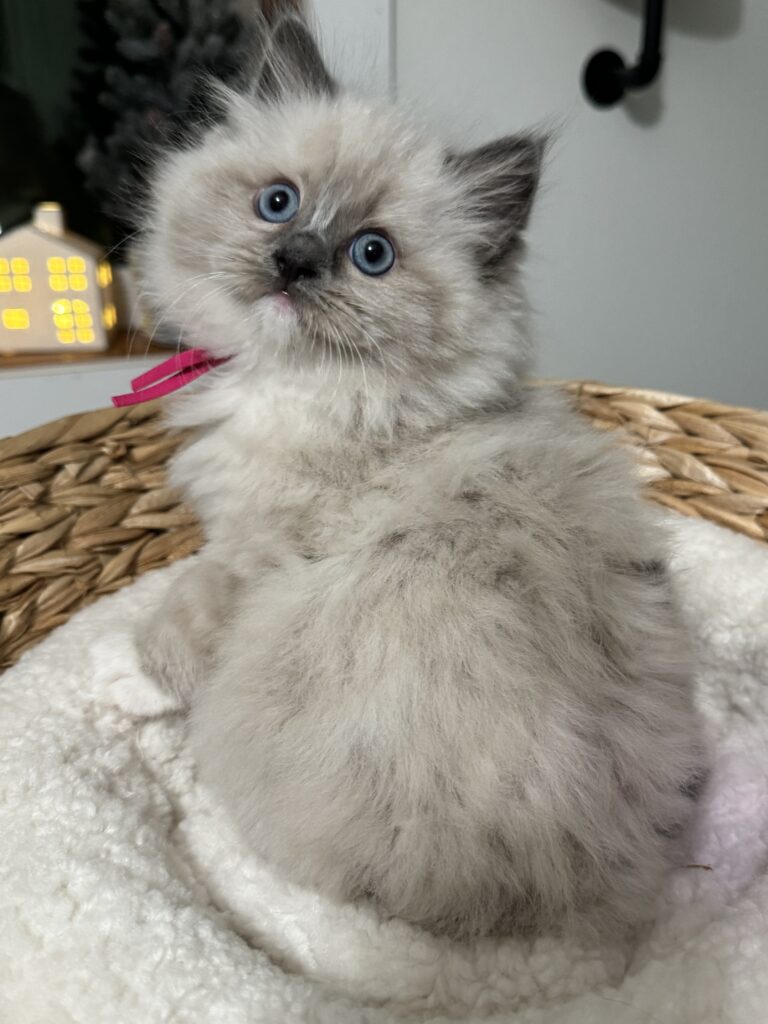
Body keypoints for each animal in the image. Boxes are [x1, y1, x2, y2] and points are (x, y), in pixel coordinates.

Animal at [131, 16, 704, 942]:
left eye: (372, 255)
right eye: (278, 202)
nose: (295, 260)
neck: (321, 394)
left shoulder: (251, 549)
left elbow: (186, 604)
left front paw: (152, 655)